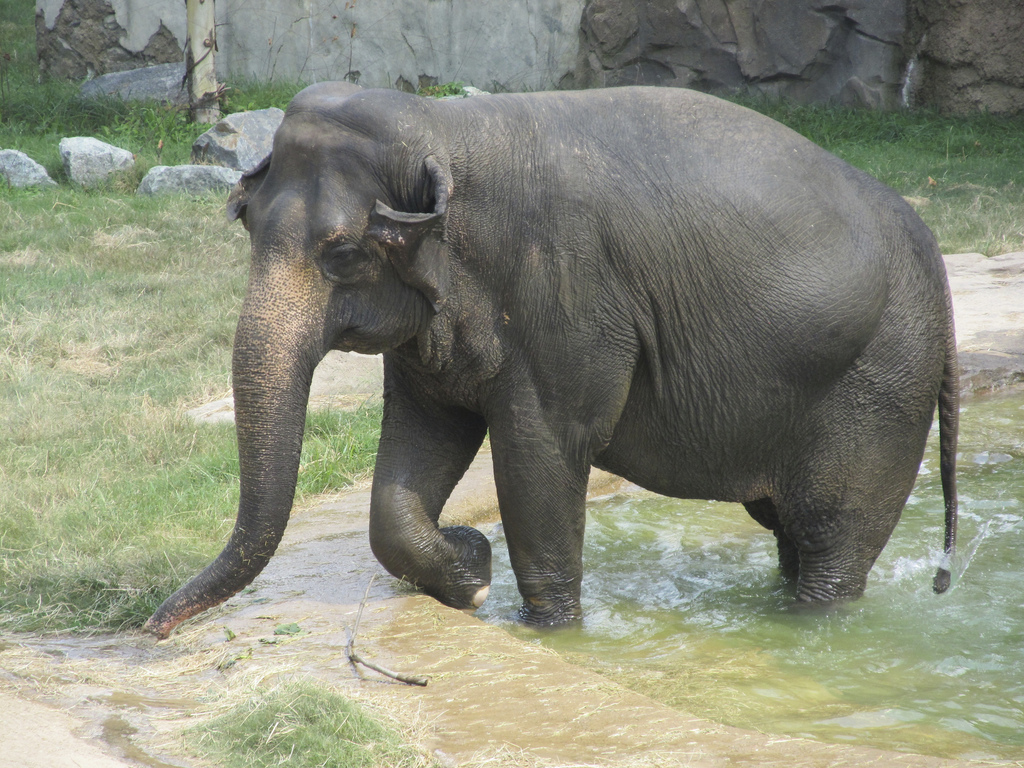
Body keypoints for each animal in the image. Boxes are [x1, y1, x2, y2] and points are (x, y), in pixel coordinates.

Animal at [144, 82, 959, 639]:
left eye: (341, 254)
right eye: (245, 223)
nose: (154, 625)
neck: (444, 126)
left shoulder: (566, 298)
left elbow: (542, 452)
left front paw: (544, 627)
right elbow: (420, 443)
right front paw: (471, 573)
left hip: (882, 385)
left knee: (832, 544)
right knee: (794, 536)